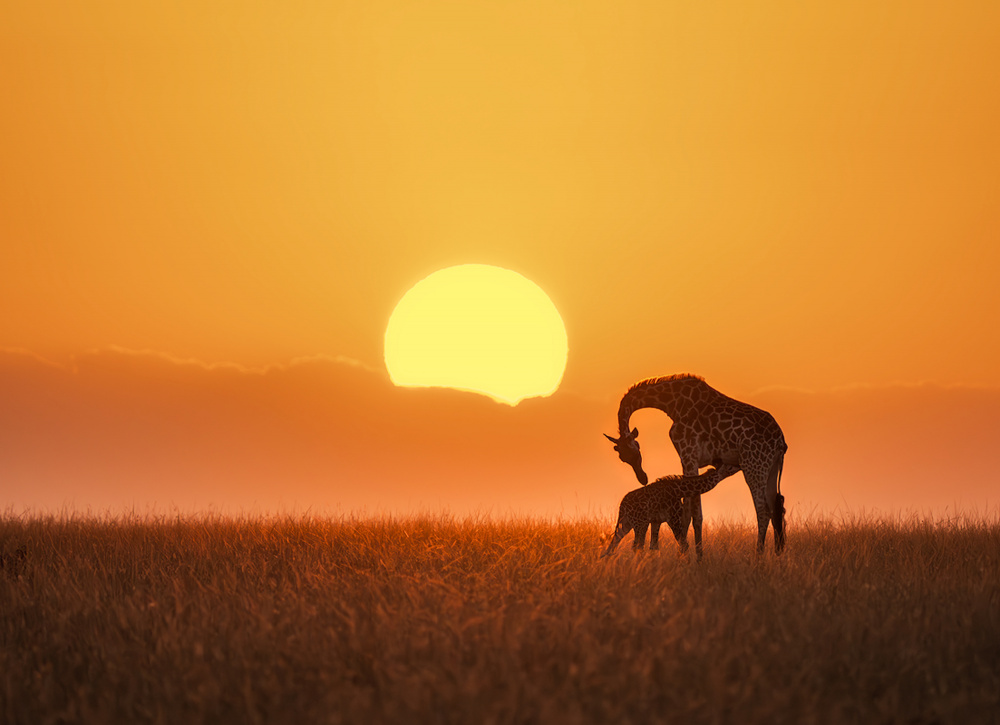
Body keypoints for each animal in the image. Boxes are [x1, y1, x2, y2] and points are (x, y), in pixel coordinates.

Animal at [600, 464, 744, 560]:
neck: (678, 490)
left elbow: (654, 546)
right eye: (730, 467)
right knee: (635, 546)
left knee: (614, 543)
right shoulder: (673, 517)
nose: (738, 466)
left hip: (626, 523)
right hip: (639, 524)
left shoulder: (656, 521)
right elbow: (684, 544)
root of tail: (622, 505)